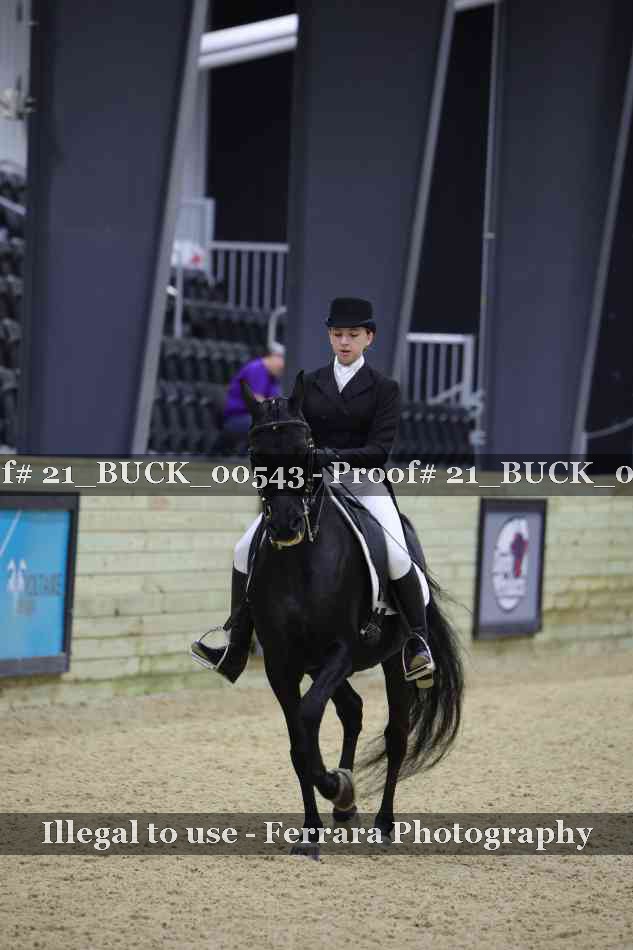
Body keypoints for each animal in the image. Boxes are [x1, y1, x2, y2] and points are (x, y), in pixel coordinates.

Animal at [240, 372, 463, 858]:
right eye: (256, 454)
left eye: (306, 448)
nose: (284, 525)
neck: (300, 562)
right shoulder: (281, 665)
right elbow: (298, 744)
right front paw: (312, 829)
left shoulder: (341, 649)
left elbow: (308, 718)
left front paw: (337, 788)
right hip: (319, 665)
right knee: (353, 711)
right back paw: (345, 814)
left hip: (394, 661)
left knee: (396, 735)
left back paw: (381, 823)